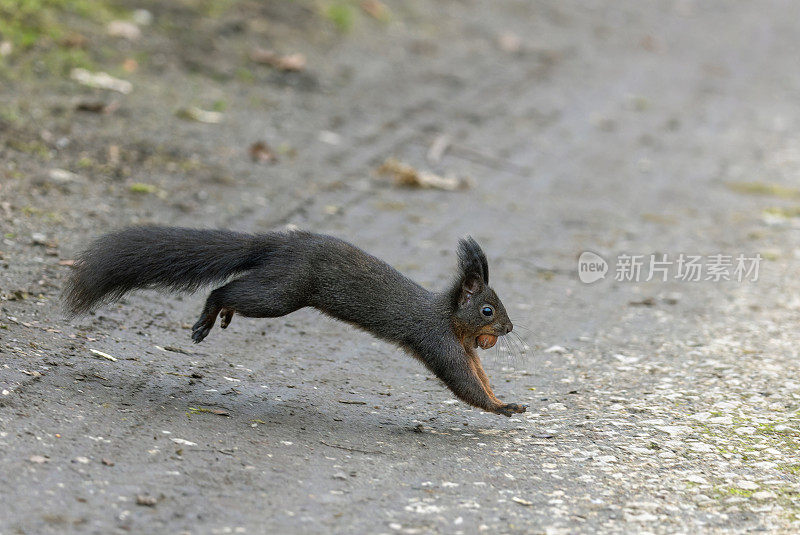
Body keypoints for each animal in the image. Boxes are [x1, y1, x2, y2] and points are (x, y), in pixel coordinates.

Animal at [62, 228, 524, 416]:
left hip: (278, 285)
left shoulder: (465, 348)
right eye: (488, 310)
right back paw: (210, 315)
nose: (509, 329)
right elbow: (464, 385)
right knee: (226, 290)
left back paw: (221, 315)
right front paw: (502, 408)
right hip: (283, 293)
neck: (450, 318)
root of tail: (282, 244)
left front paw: (505, 400)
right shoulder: (439, 341)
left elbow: (480, 377)